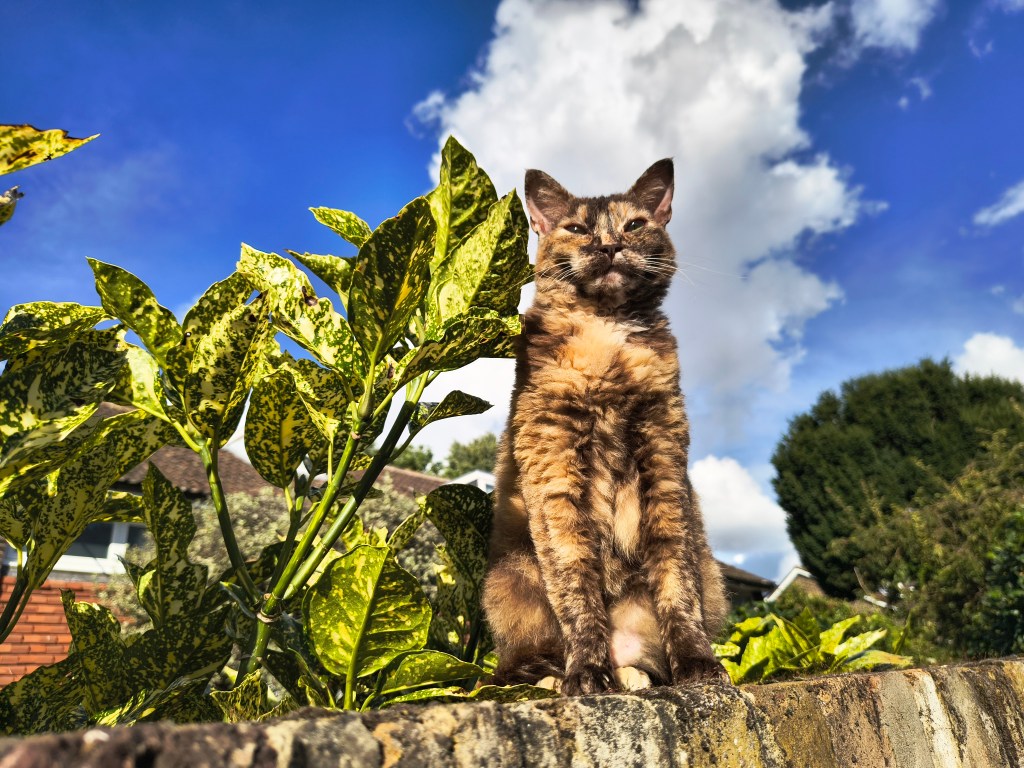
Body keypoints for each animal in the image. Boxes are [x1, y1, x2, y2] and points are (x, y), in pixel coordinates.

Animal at [483, 157, 733, 696]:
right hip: (511, 573)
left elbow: (676, 581)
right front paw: (587, 672)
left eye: (634, 224)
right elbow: (576, 582)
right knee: (516, 660)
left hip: (712, 576)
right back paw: (557, 675)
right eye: (577, 228)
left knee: (648, 657)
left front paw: (698, 664)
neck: (609, 338)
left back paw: (633, 675)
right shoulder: (554, 468)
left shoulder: (664, 459)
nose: (608, 244)